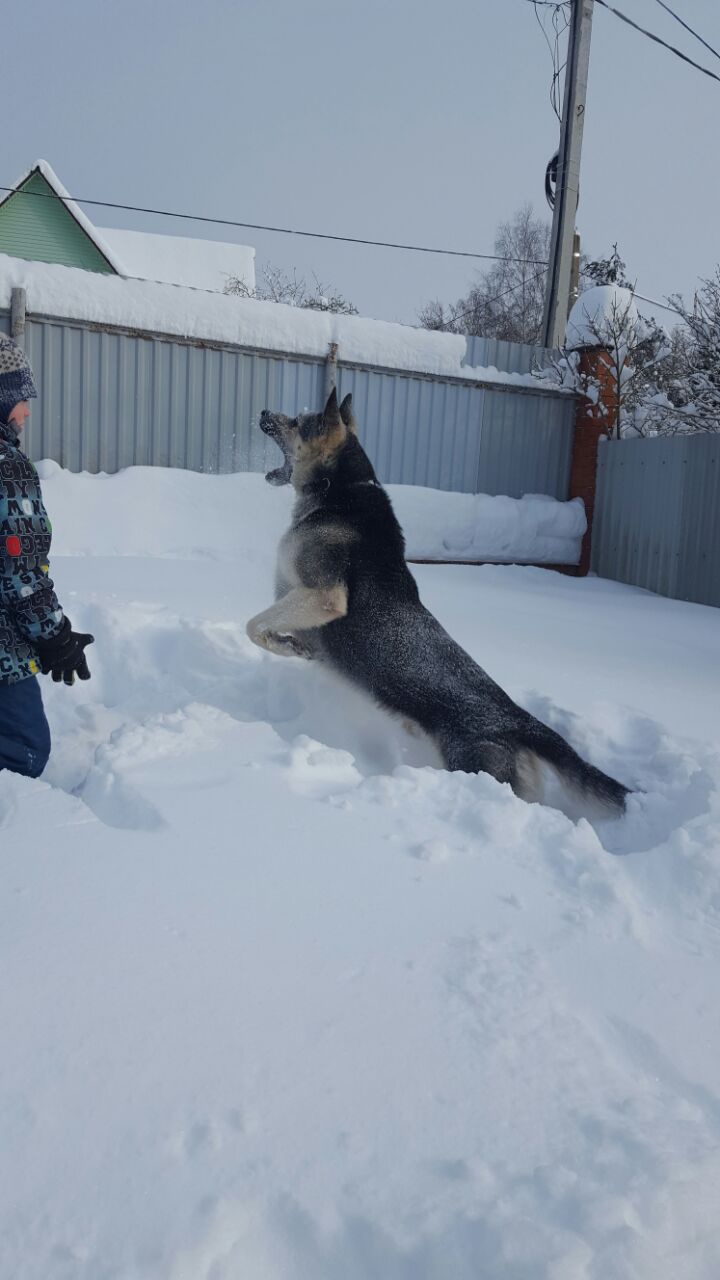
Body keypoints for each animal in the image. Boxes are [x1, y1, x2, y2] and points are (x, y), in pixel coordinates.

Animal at [243, 384, 625, 814]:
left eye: (296, 422)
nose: (264, 412)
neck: (340, 489)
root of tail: (519, 720)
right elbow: (261, 624)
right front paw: (290, 644)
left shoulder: (324, 597)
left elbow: (254, 625)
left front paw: (286, 646)